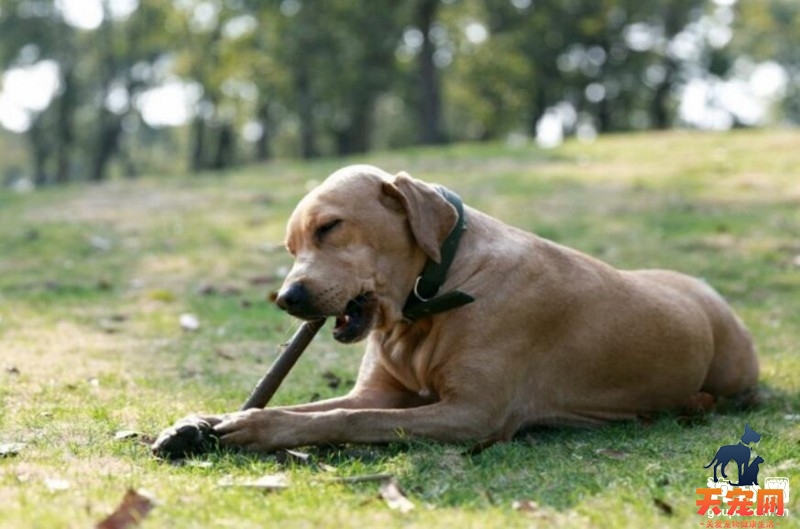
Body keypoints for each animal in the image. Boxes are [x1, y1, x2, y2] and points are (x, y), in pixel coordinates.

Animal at [191, 164, 760, 450]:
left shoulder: (473, 414)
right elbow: (333, 408)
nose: (288, 299)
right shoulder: (383, 392)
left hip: (736, 374)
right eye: (290, 248)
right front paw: (205, 422)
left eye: (330, 227)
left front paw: (257, 430)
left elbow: (351, 419)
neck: (432, 294)